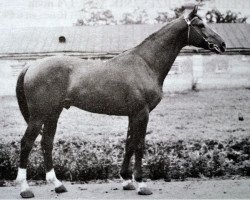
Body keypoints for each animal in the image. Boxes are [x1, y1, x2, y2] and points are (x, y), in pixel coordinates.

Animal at [15, 5, 227, 198]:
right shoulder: (142, 113)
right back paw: (25, 189)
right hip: (39, 115)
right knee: (27, 143)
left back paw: (58, 185)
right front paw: (141, 184)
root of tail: (31, 65)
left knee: (47, 143)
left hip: (53, 113)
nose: (222, 44)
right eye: (200, 25)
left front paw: (126, 180)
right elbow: (140, 145)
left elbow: (129, 144)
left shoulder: (133, 115)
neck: (145, 63)